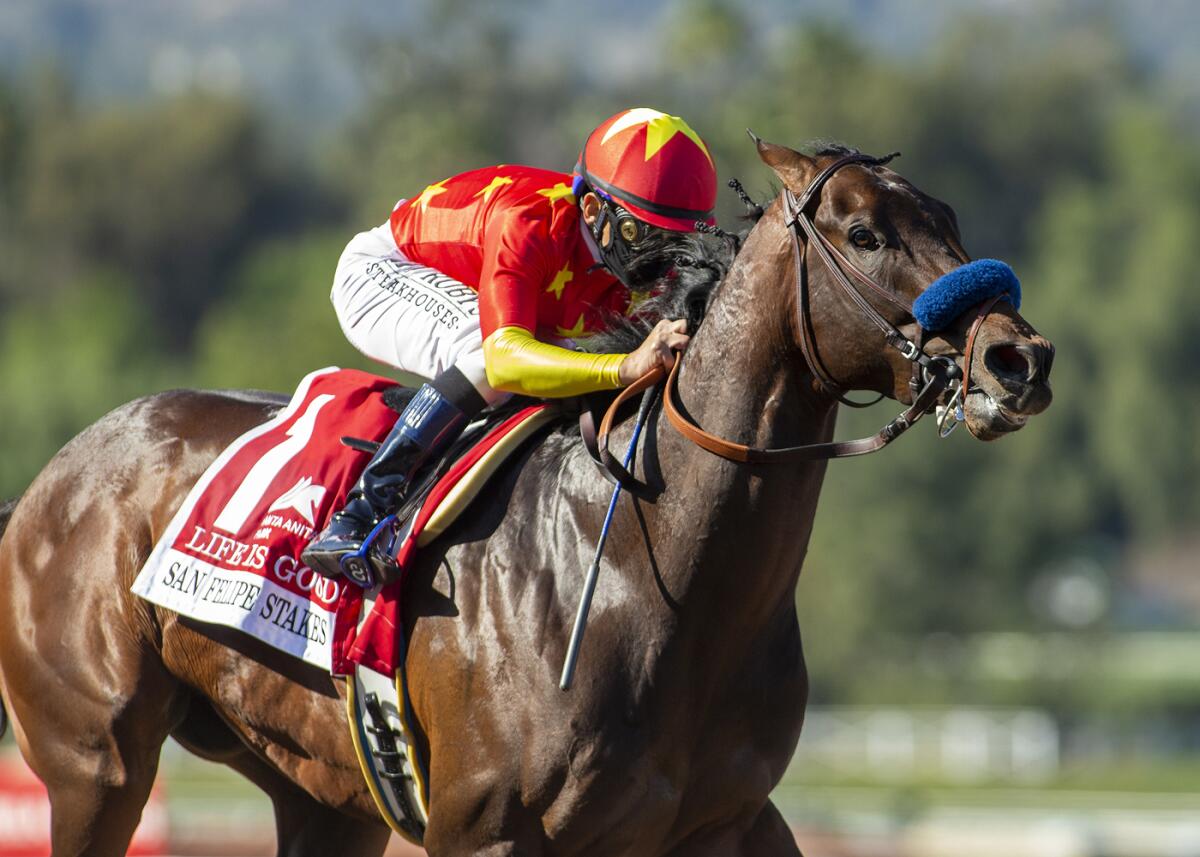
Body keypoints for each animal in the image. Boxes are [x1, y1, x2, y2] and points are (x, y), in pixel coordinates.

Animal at [0, 136, 1051, 849]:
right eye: (864, 233)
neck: (655, 573)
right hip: (96, 762)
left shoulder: (732, 822)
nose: (1020, 357)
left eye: (952, 223)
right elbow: (503, 345)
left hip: (319, 793)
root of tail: (51, 479)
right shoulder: (488, 828)